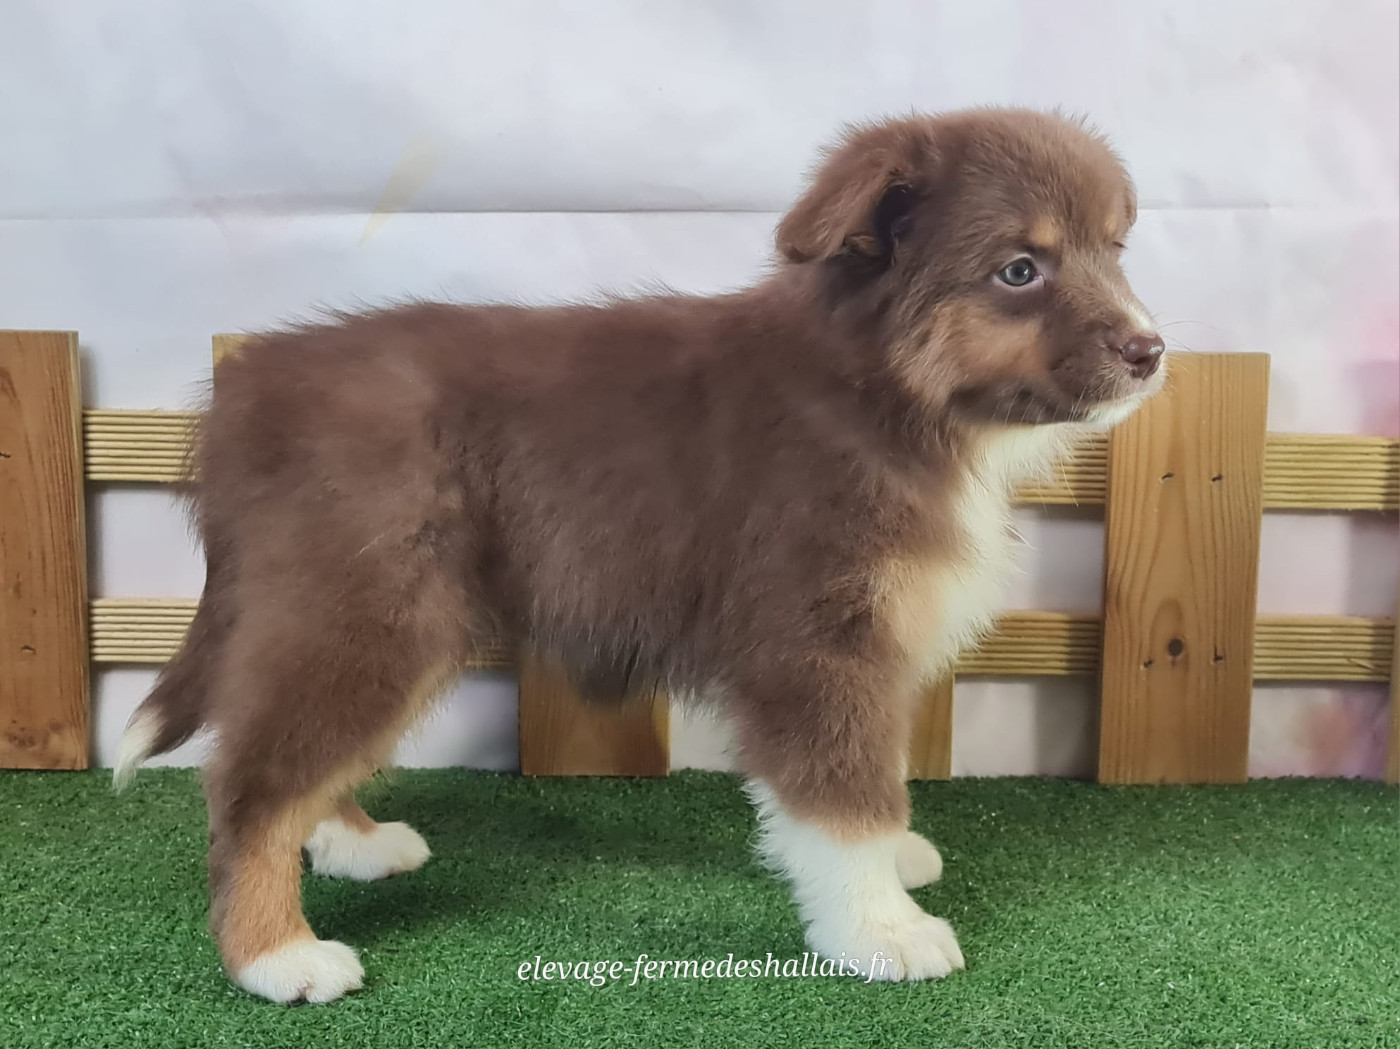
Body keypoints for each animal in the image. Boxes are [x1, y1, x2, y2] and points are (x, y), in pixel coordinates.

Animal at [115, 106, 1165, 1003]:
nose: (1152, 350)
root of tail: (247, 390)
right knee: (252, 781)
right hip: (367, 607)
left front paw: (894, 863)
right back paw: (277, 956)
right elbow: (844, 792)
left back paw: (353, 846)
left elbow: (871, 775)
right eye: (1020, 271)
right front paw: (883, 929)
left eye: (1114, 249)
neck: (885, 394)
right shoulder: (813, 641)